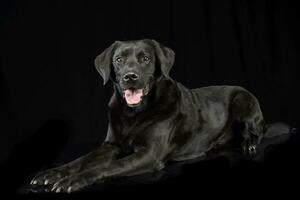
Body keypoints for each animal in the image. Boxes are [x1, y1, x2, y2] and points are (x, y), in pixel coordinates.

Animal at [29, 39, 290, 192]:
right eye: (119, 60)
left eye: (145, 59)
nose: (130, 76)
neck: (133, 113)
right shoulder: (110, 145)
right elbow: (80, 161)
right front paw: (51, 174)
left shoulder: (149, 154)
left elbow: (110, 166)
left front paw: (73, 181)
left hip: (243, 99)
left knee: (257, 132)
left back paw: (249, 143)